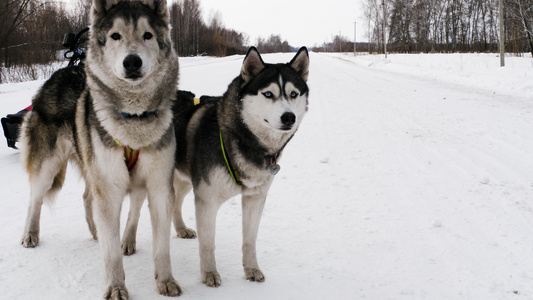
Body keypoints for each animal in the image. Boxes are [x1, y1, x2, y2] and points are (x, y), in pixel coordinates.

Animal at [20, 0, 181, 298]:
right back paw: (30, 234)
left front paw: (165, 280)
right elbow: (111, 254)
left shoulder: (159, 186)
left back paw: (101, 233)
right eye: (116, 36)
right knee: (35, 198)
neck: (133, 117)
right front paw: (116, 287)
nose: (132, 61)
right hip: (49, 166)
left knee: (89, 199)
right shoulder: (109, 187)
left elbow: (162, 245)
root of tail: (61, 73)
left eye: (147, 35)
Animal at [122, 46, 310, 286]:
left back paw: (181, 228)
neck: (242, 139)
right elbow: (208, 243)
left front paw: (251, 269)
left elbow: (249, 241)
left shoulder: (255, 198)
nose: (289, 117)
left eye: (294, 94)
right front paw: (209, 273)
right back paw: (128, 241)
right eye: (268, 94)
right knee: (133, 213)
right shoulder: (207, 199)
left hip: (183, 178)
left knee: (175, 203)